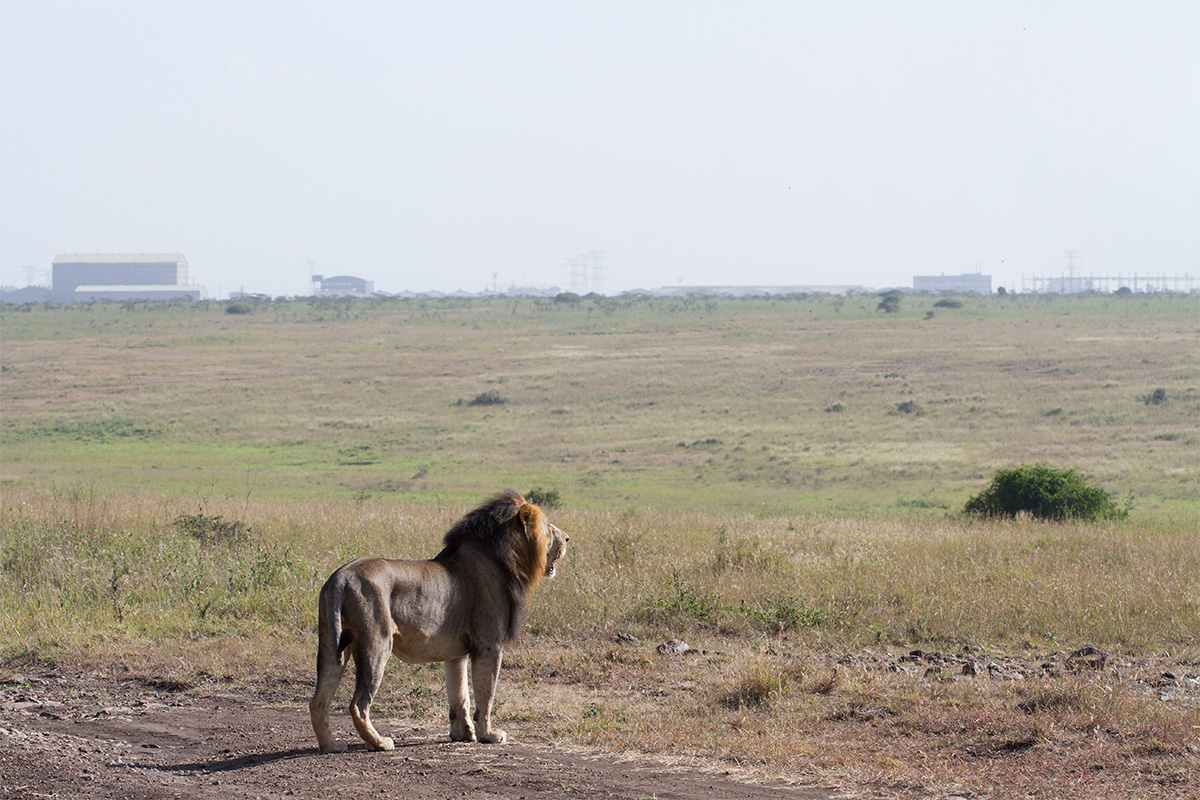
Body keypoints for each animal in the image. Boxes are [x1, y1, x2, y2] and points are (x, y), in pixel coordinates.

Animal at [309, 491, 571, 753]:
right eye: (549, 526)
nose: (568, 538)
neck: (502, 558)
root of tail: (341, 576)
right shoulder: (489, 644)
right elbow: (485, 695)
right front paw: (488, 734)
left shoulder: (456, 653)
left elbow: (460, 695)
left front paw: (462, 734)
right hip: (376, 644)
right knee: (358, 704)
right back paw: (380, 742)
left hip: (329, 642)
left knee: (318, 700)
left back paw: (331, 744)